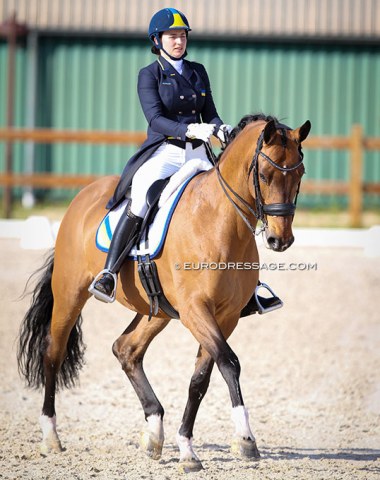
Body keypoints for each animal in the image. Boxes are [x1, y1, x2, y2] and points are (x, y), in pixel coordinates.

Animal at [16, 113, 310, 472]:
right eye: (265, 175)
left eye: (300, 173)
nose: (280, 240)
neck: (219, 220)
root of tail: (83, 196)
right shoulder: (196, 310)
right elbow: (229, 362)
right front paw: (244, 437)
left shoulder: (224, 317)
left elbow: (201, 379)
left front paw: (187, 448)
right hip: (70, 294)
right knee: (53, 353)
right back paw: (51, 437)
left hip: (157, 310)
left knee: (126, 349)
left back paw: (154, 433)